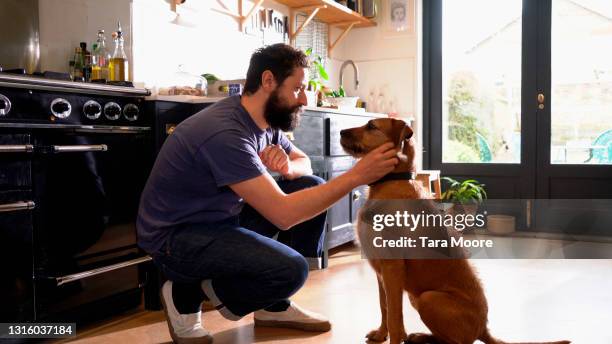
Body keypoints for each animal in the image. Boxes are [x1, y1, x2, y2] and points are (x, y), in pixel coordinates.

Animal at [340, 118, 568, 344]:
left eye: (371, 126)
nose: (340, 131)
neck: (391, 181)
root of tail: (483, 329)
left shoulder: (392, 267)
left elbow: (395, 316)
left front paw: (394, 337)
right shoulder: (381, 272)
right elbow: (385, 307)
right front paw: (381, 334)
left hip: (428, 298)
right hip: (416, 296)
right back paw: (420, 336)